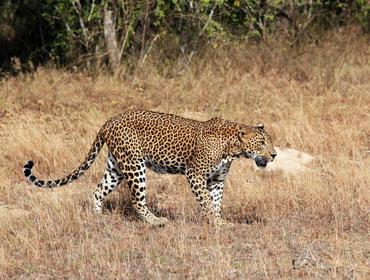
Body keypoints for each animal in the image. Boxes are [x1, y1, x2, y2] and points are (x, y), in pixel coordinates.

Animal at [23, 110, 276, 226]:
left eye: (270, 142)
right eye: (262, 142)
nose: (274, 155)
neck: (233, 148)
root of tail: (109, 120)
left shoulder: (216, 180)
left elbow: (215, 202)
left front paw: (218, 221)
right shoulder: (195, 174)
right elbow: (205, 201)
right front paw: (217, 223)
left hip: (116, 167)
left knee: (97, 190)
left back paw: (98, 217)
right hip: (135, 166)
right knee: (137, 200)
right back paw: (156, 221)